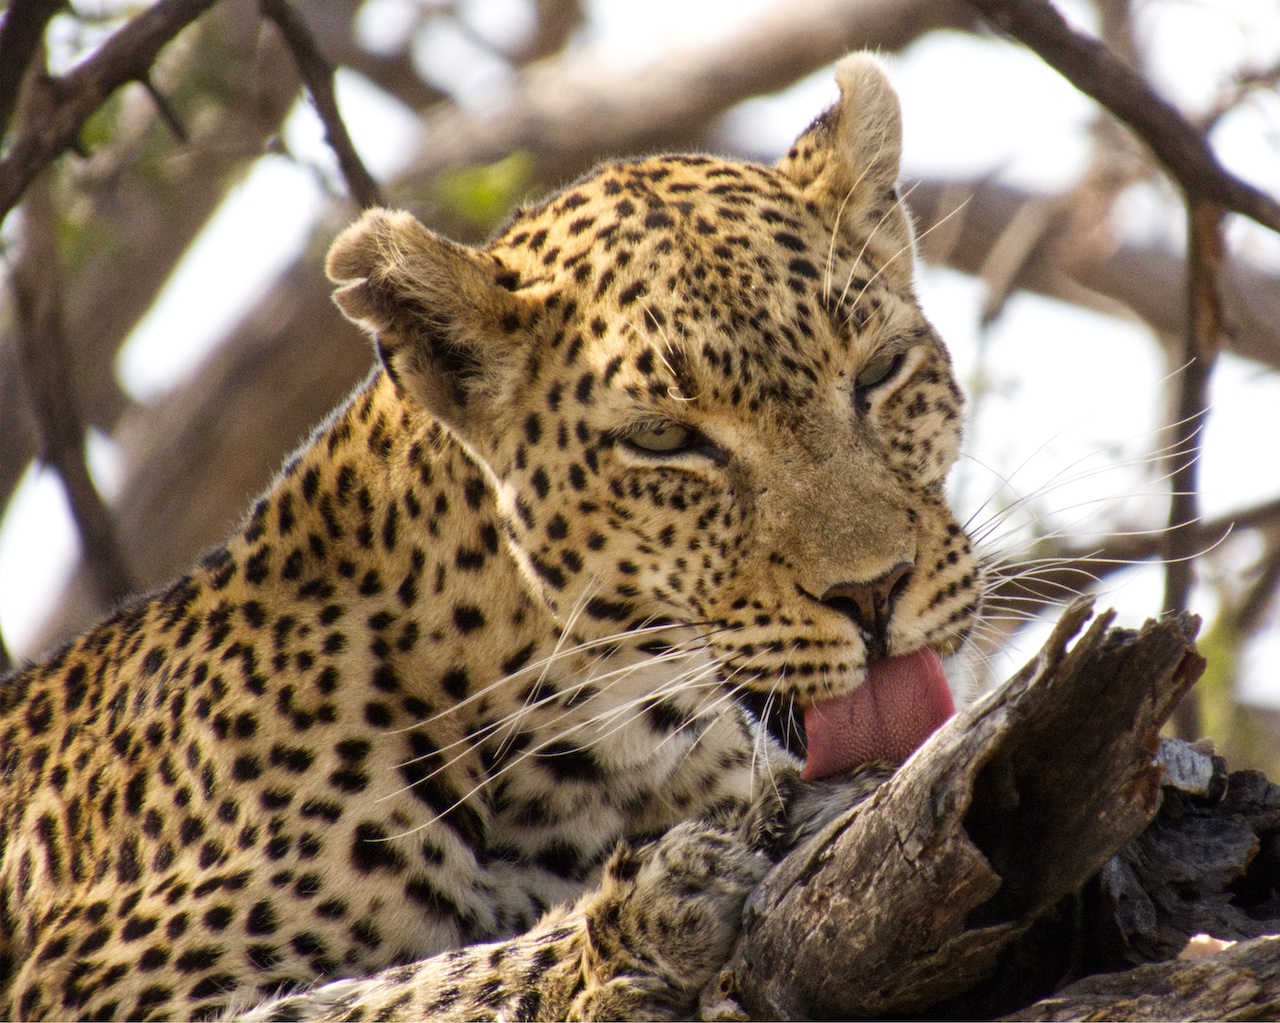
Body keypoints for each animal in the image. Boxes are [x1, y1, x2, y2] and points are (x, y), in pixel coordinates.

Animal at [2, 56, 977, 1023]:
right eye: (663, 438)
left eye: (881, 370)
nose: (874, 591)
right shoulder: (104, 986)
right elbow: (386, 990)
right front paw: (620, 930)